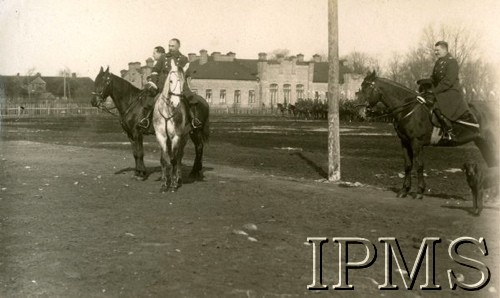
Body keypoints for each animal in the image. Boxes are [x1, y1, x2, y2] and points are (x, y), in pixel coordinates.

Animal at [358, 70, 498, 199]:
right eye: (361, 88)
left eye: (367, 88)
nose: (360, 113)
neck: (409, 109)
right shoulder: (405, 142)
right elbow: (408, 165)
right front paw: (404, 190)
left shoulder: (416, 143)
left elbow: (419, 165)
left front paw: (420, 191)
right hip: (483, 143)